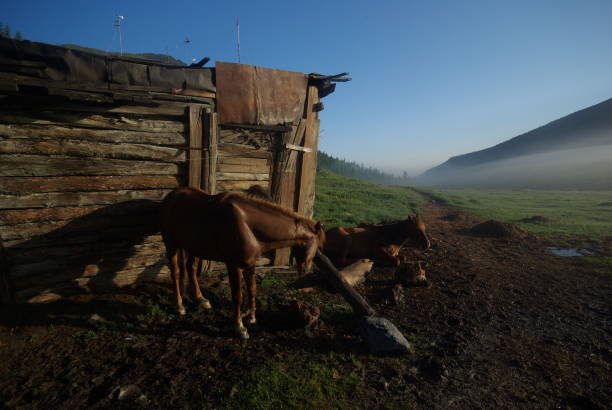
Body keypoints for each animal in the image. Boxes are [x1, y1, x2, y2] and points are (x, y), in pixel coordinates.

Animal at [160, 187, 328, 340]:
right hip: (171, 244)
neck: (247, 224)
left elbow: (252, 289)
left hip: (193, 248)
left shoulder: (250, 264)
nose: (305, 270)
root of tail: (172, 196)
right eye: (318, 247)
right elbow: (238, 296)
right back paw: (179, 306)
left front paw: (252, 318)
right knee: (175, 272)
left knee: (191, 269)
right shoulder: (234, 266)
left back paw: (201, 299)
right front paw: (240, 328)